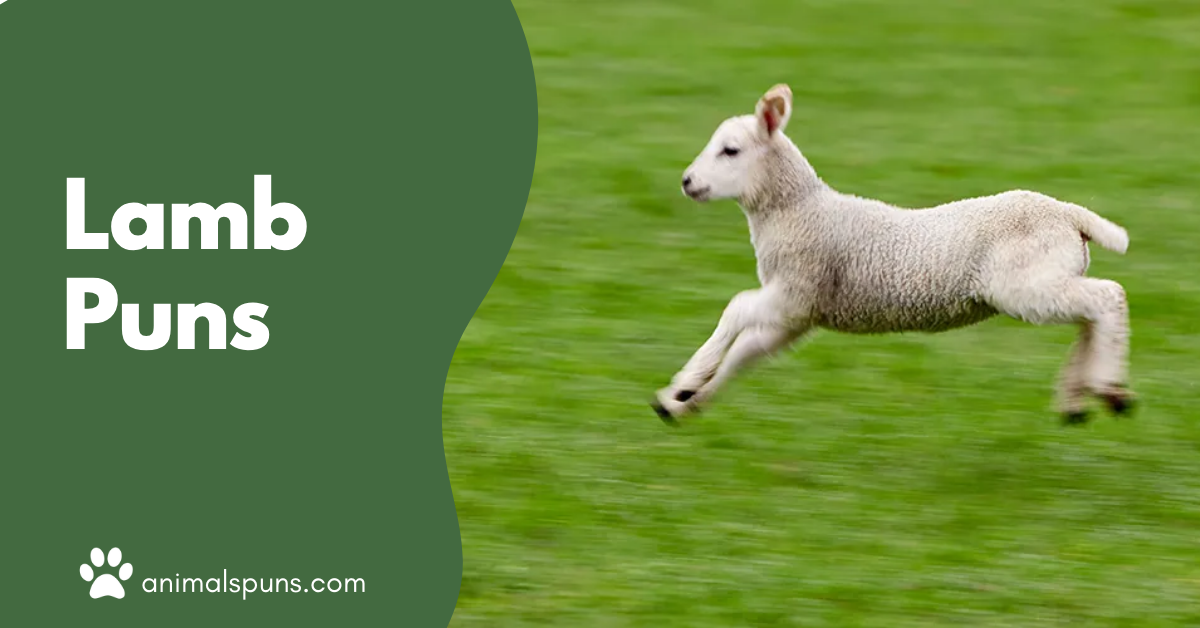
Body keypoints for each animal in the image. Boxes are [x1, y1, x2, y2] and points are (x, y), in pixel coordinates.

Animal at [651, 83, 1133, 426]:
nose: (688, 182)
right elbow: (746, 353)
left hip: (1023, 283)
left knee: (1108, 296)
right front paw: (679, 403)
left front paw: (688, 382)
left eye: (730, 150)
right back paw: (1079, 399)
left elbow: (735, 311)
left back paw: (1111, 388)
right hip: (1047, 278)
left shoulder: (796, 289)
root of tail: (1070, 214)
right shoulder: (798, 314)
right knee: (1088, 315)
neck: (799, 211)